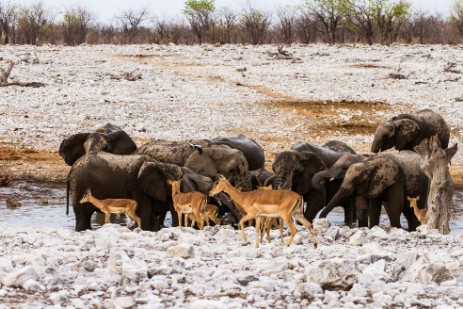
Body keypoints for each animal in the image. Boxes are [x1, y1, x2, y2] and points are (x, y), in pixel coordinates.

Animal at [66, 152, 215, 231]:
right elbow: (146, 212)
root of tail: (72, 169)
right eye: (176, 185)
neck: (160, 164)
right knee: (83, 216)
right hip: (79, 185)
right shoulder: (137, 187)